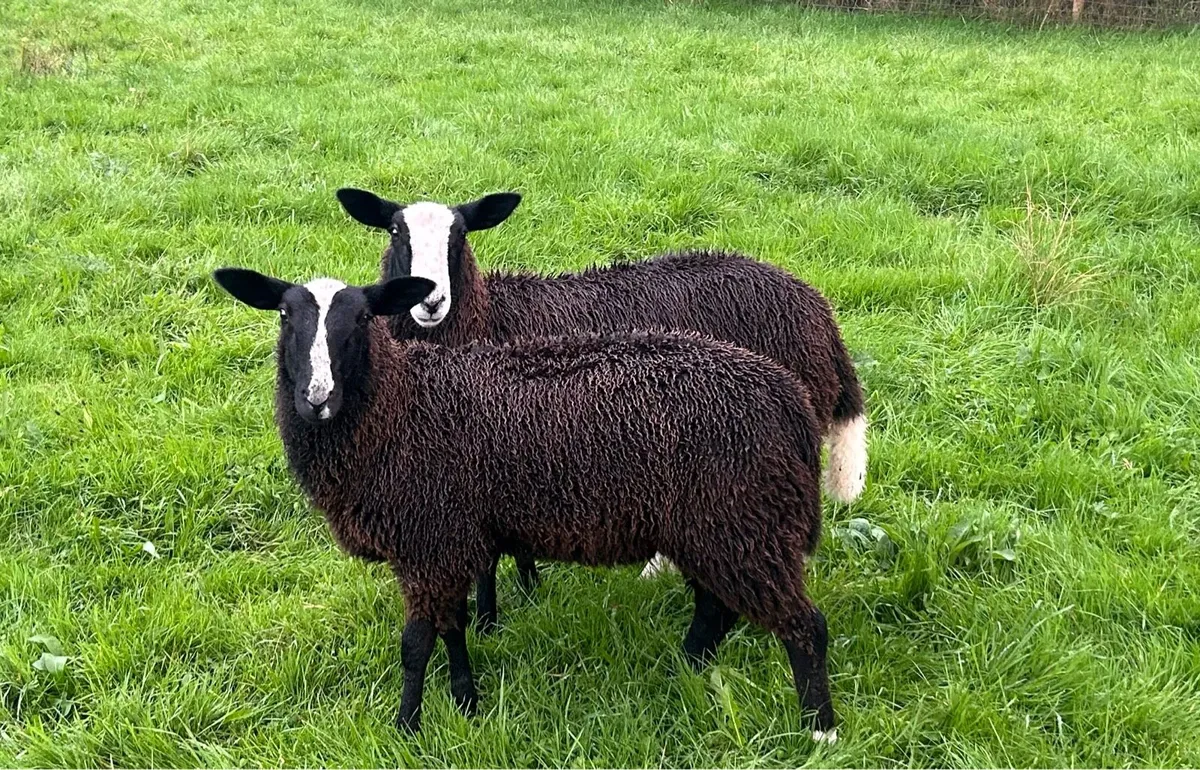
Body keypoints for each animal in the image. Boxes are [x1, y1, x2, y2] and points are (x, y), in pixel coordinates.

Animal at [212, 266, 838, 740]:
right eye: (285, 315)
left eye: (363, 318)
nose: (316, 397)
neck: (399, 407)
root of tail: (792, 400)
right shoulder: (452, 538)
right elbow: (453, 626)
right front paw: (465, 703)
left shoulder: (428, 539)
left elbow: (416, 643)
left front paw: (407, 727)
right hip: (719, 526)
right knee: (716, 607)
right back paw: (683, 669)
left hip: (742, 520)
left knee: (804, 625)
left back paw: (818, 729)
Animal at [335, 187, 868, 628]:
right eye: (396, 232)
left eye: (460, 235)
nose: (431, 301)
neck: (490, 318)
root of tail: (818, 311)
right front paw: (526, 589)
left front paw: (489, 620)